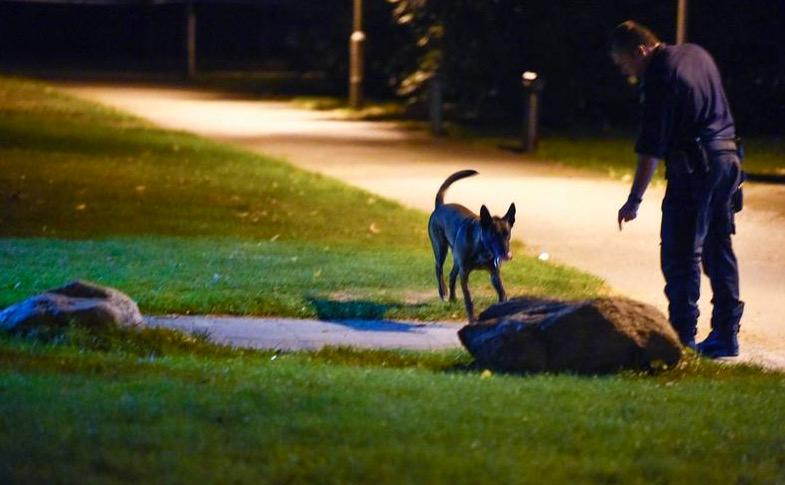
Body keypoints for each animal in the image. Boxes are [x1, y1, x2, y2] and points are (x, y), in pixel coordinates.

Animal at [428, 169, 516, 322]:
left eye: (507, 234)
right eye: (493, 235)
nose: (507, 255)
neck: (481, 246)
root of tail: (440, 206)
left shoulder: (494, 274)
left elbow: (502, 293)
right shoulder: (465, 275)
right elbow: (468, 299)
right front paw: (472, 318)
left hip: (456, 259)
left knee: (452, 275)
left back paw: (452, 298)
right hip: (440, 248)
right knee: (438, 268)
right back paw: (443, 292)